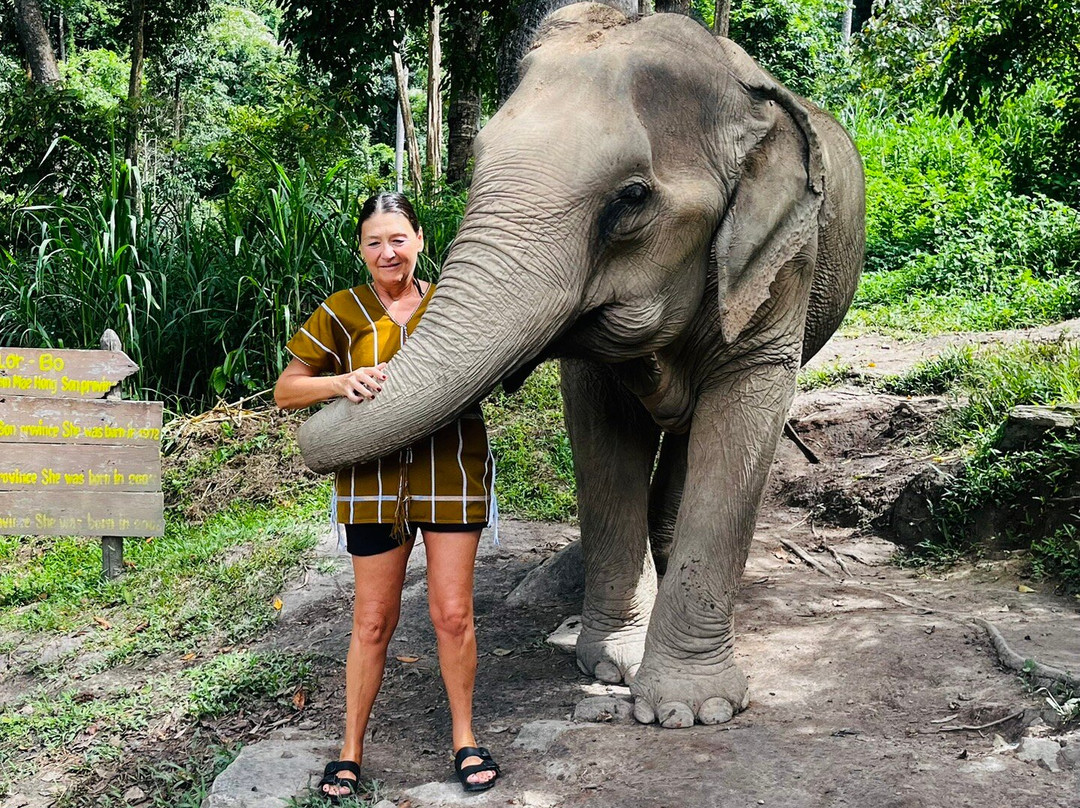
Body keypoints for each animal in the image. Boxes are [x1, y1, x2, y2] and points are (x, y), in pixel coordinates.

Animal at [299, 3, 865, 728]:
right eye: (477, 162)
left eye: (631, 198)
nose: (351, 377)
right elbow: (602, 437)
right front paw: (612, 666)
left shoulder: (783, 264)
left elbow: (742, 419)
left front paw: (689, 710)